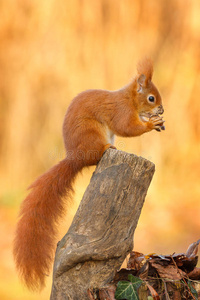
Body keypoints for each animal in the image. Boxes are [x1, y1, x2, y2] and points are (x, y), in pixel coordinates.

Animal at [13, 58, 165, 290]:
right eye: (151, 98)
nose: (162, 110)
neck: (129, 99)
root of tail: (75, 158)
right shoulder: (121, 111)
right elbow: (127, 127)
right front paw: (150, 123)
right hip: (92, 134)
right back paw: (107, 149)